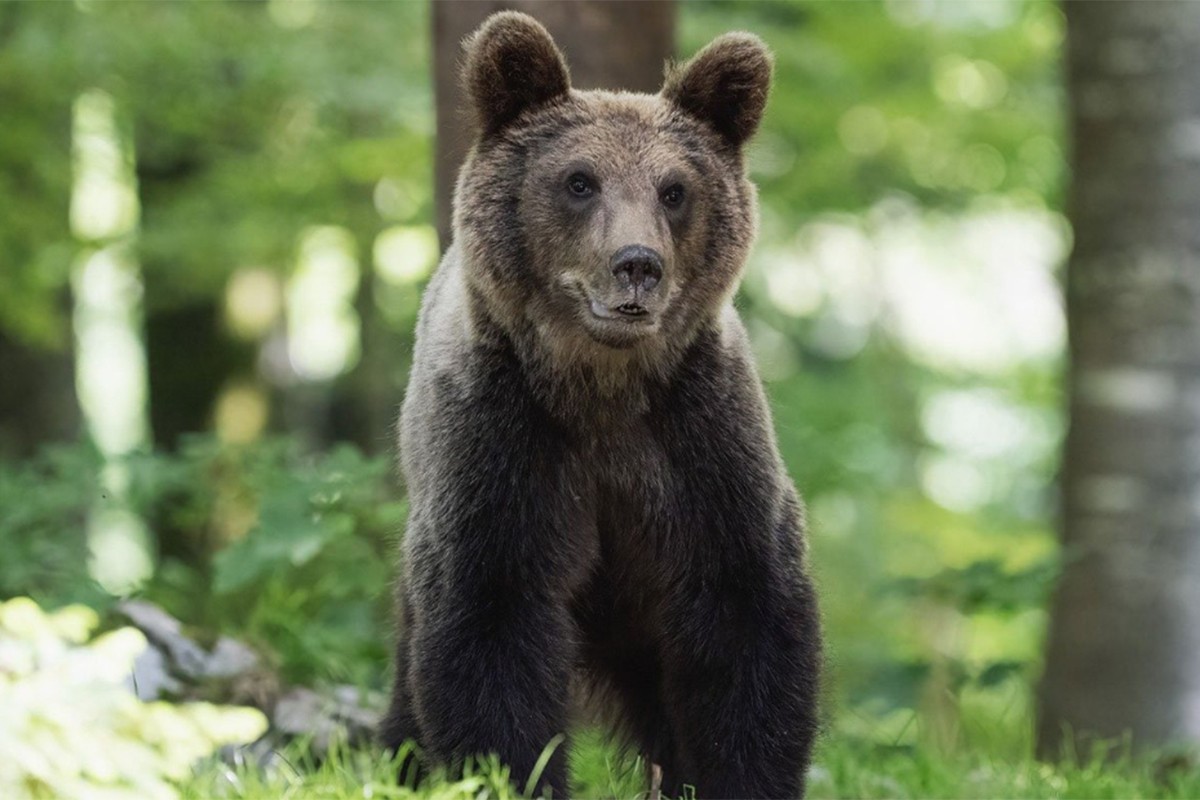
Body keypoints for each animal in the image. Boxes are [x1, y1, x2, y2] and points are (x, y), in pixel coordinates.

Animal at [384, 14, 825, 800]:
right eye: (579, 181)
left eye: (674, 189)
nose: (637, 264)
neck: (602, 389)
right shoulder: (502, 448)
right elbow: (491, 628)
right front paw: (513, 772)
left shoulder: (700, 446)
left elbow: (747, 622)